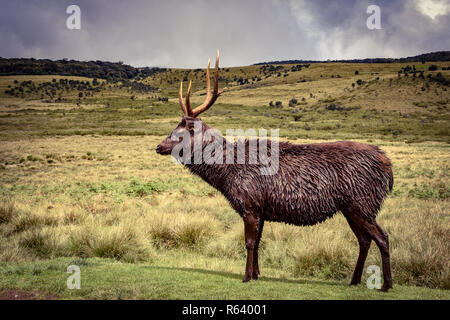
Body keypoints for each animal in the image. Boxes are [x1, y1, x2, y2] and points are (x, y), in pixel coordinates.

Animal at [156, 50, 394, 292]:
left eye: (181, 132)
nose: (158, 146)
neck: (226, 175)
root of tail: (388, 165)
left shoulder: (250, 204)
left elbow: (249, 243)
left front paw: (246, 277)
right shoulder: (261, 209)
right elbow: (259, 242)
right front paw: (256, 274)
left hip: (362, 203)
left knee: (382, 236)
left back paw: (386, 284)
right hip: (351, 208)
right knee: (364, 240)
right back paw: (354, 280)